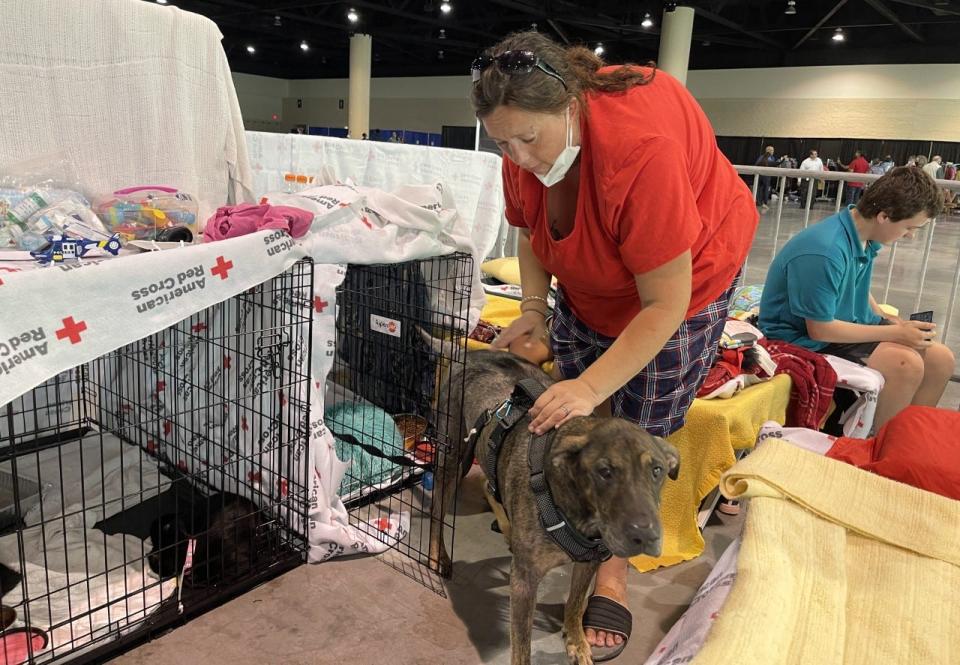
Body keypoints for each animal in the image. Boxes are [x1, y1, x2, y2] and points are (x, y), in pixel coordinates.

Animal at [432, 350, 680, 660]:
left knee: (490, 487)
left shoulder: (588, 562)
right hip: (453, 458)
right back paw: (438, 557)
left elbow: (575, 603)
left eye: (657, 470)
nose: (645, 536)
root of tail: (474, 352)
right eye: (604, 472)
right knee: (436, 511)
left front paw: (576, 641)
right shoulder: (524, 583)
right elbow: (522, 647)